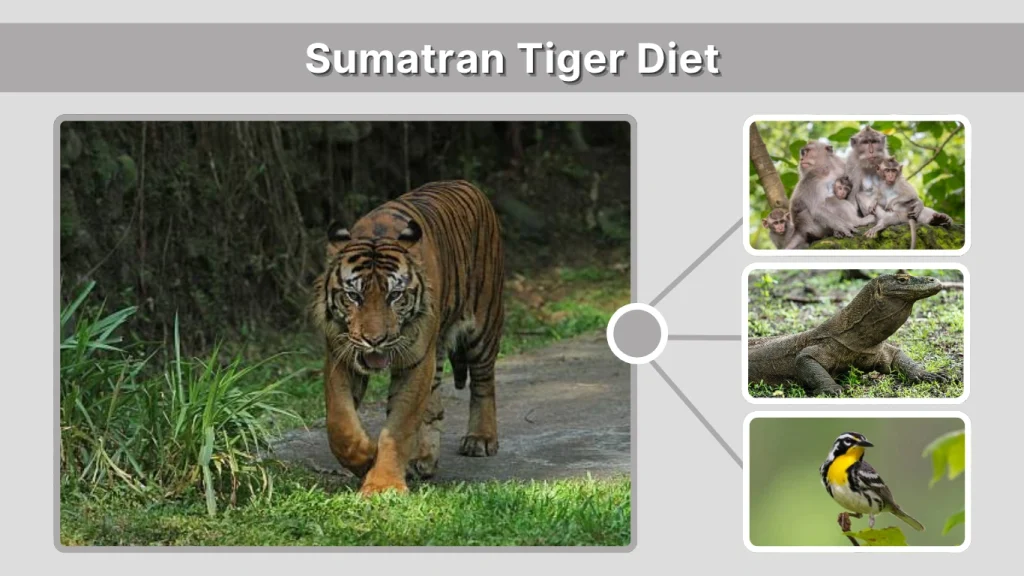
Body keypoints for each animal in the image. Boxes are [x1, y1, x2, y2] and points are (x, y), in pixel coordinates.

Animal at [310, 179, 505, 496]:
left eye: (395, 295)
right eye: (354, 296)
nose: (374, 339)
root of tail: (466, 183)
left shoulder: (416, 362)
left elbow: (398, 427)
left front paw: (383, 485)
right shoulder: (341, 356)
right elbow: (340, 423)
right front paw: (366, 457)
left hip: (483, 326)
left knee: (483, 384)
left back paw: (480, 438)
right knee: (434, 405)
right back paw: (422, 459)